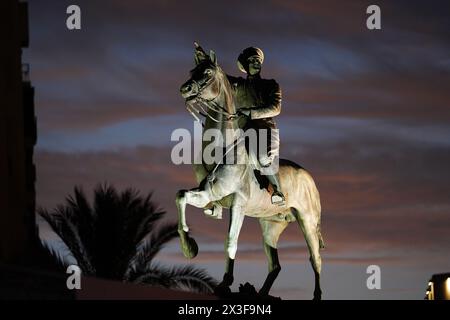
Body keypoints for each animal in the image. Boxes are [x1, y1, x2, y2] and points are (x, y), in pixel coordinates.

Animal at [175, 45, 324, 300]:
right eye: (192, 70)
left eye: (207, 72)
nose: (185, 89)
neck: (222, 148)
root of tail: (308, 177)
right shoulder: (207, 195)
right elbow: (181, 196)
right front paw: (189, 247)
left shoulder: (239, 204)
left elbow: (231, 241)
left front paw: (225, 282)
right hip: (270, 227)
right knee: (275, 266)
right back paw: (261, 293)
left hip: (307, 221)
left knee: (315, 259)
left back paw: (316, 295)